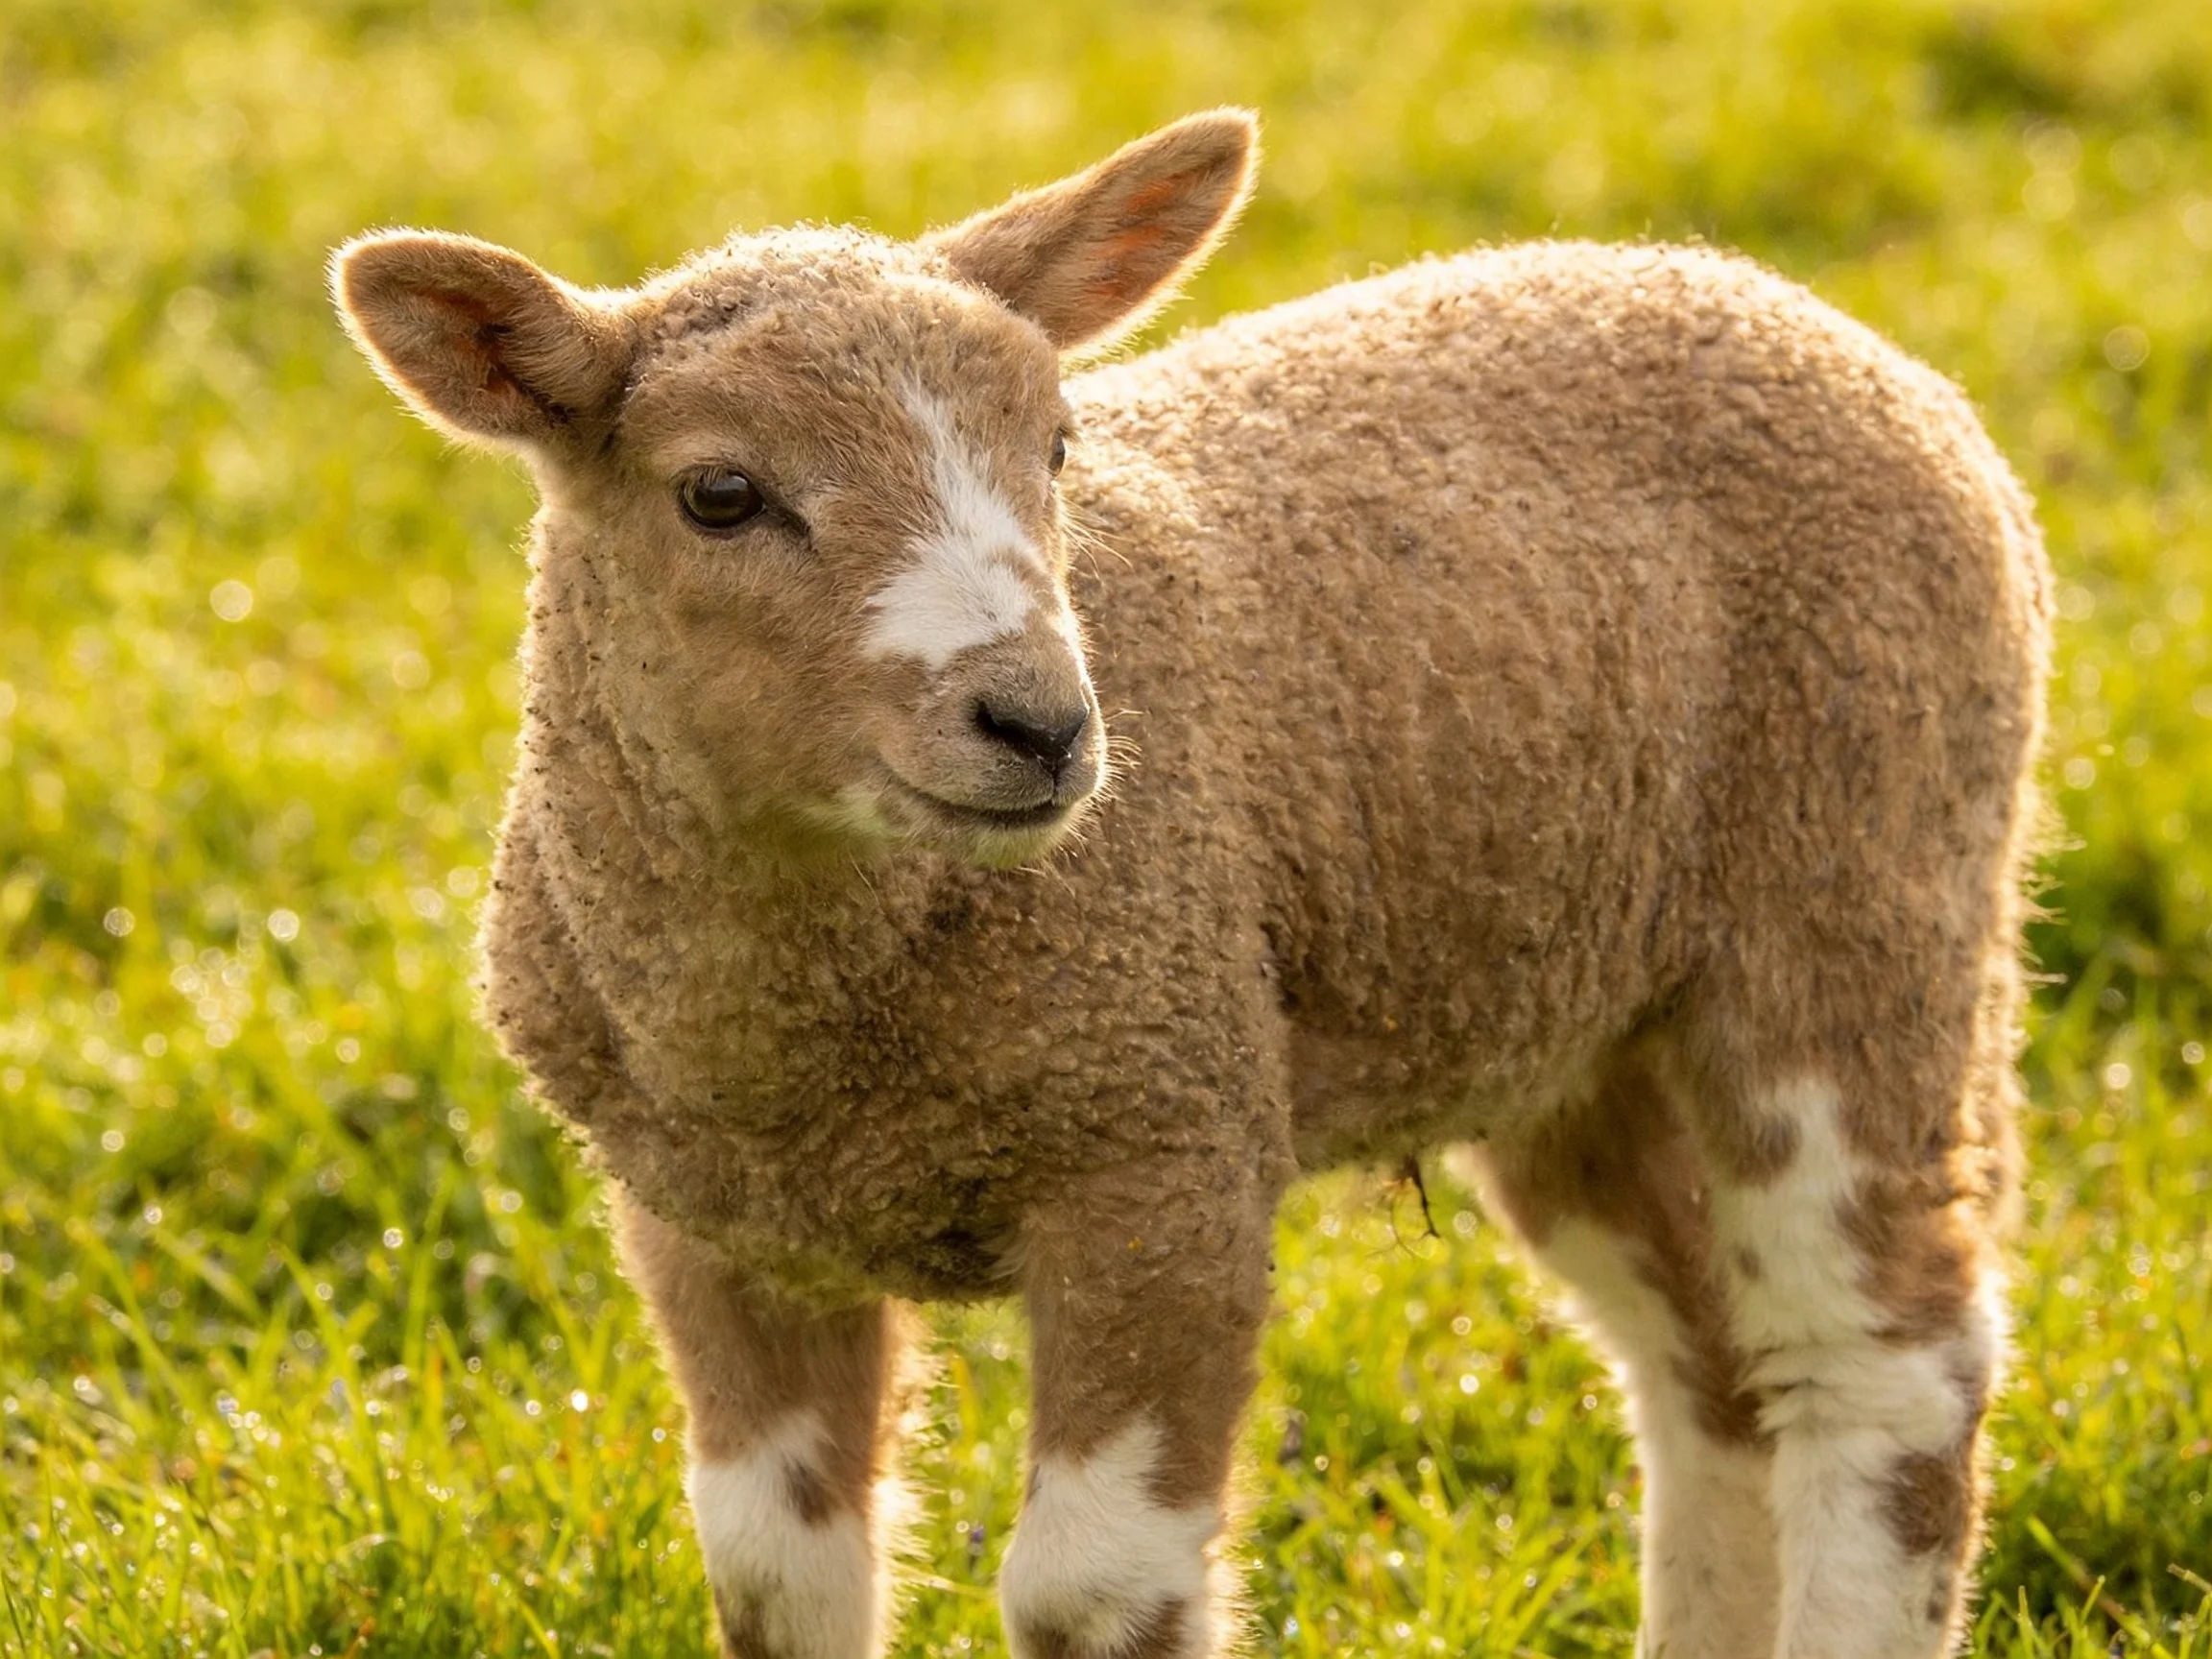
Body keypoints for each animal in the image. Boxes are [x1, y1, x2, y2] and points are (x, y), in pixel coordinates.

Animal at [332, 108, 2051, 1659]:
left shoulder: (1167, 1144)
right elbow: (774, 1580)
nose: (1041, 724)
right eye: (719, 496)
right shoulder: (709, 1219)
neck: (812, 1023)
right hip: (1576, 1004)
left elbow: (1089, 1594)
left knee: (1879, 1367)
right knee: (1714, 1377)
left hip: (1861, 874)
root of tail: (1800, 313)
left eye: (1058, 445)